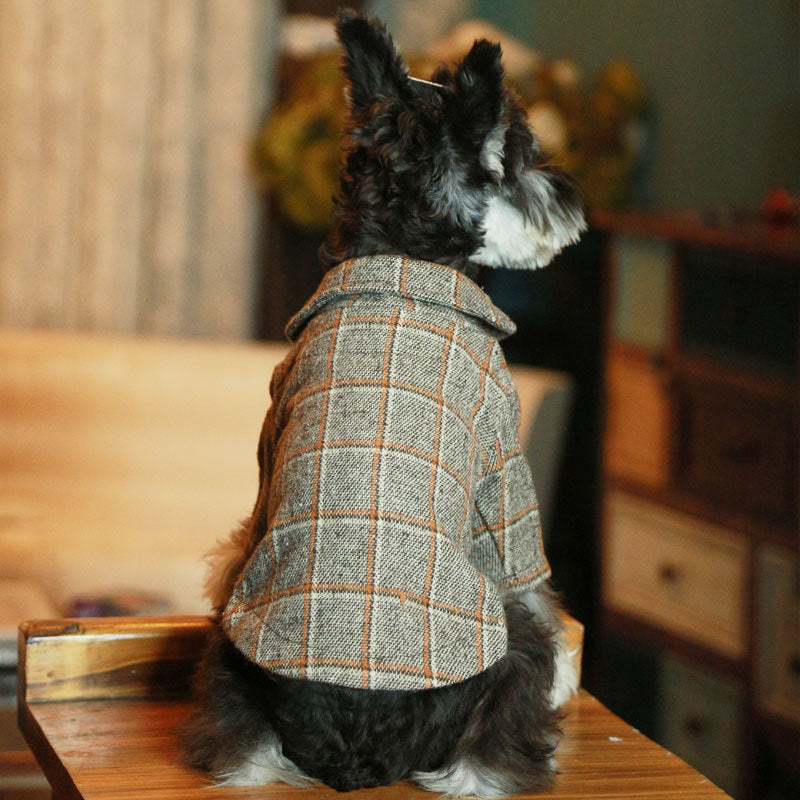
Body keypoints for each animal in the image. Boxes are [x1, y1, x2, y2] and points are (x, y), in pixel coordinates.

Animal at [180, 9, 580, 796]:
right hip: (504, 640)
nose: (571, 199)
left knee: (238, 747)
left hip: (228, 657)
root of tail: (356, 756)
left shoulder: (269, 442)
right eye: (520, 155)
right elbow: (534, 575)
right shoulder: (504, 465)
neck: (399, 250)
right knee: (493, 740)